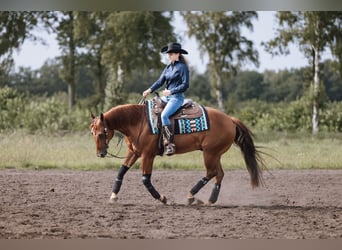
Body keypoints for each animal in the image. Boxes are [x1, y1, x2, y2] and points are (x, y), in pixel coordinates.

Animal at [90, 101, 264, 205]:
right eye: (92, 132)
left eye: (101, 133)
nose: (100, 154)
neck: (138, 122)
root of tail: (230, 119)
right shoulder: (134, 152)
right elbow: (121, 171)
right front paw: (113, 196)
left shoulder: (147, 155)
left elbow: (145, 179)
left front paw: (163, 199)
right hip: (215, 154)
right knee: (219, 174)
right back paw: (210, 200)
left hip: (210, 154)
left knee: (211, 173)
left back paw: (191, 196)